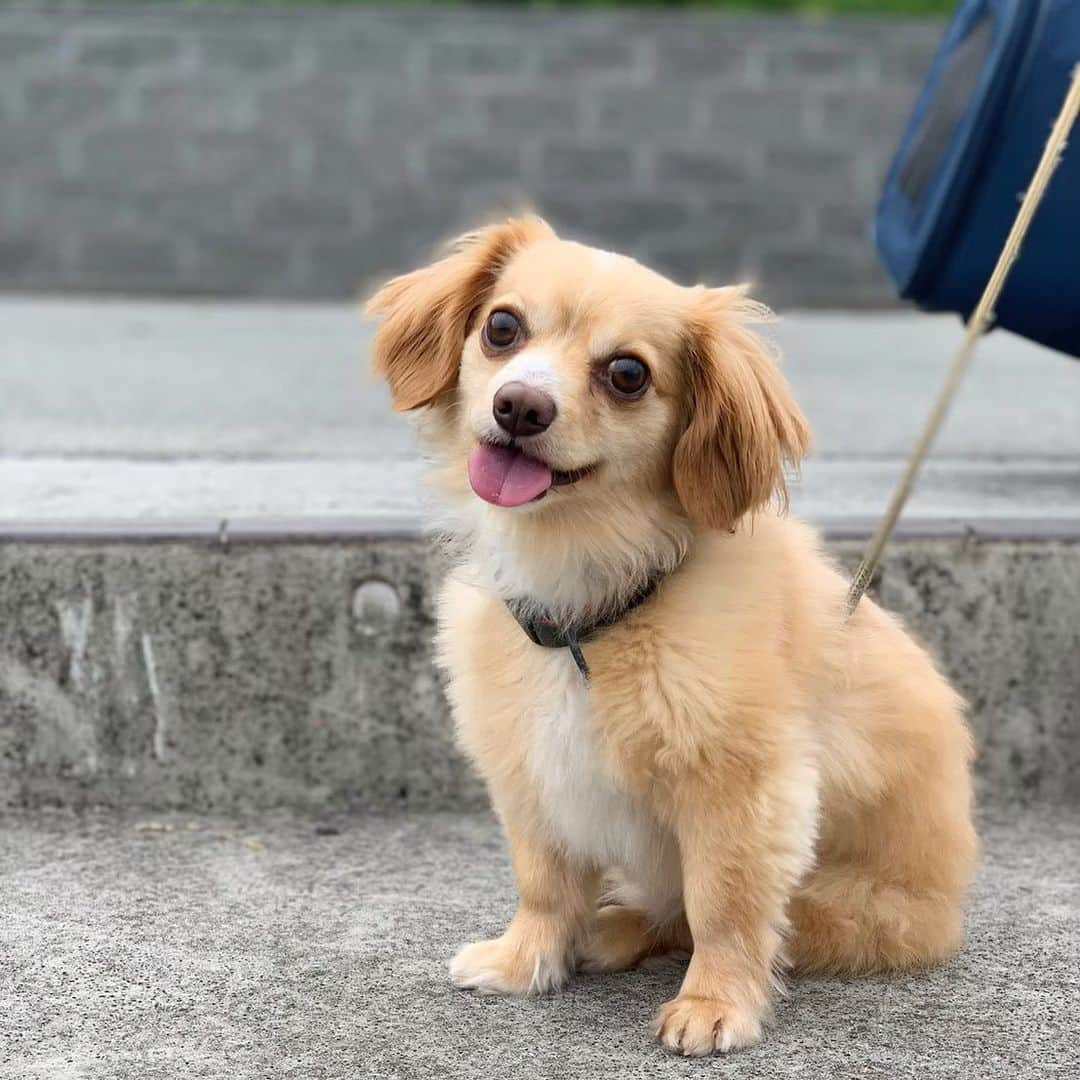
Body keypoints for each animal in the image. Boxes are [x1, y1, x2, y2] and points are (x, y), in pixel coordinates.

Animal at [369, 217, 980, 1054]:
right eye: (502, 327)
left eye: (628, 373)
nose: (520, 406)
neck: (594, 607)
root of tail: (946, 912)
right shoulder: (531, 774)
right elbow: (542, 882)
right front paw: (526, 959)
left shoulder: (744, 794)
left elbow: (724, 906)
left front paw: (715, 1003)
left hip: (852, 907)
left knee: (695, 917)